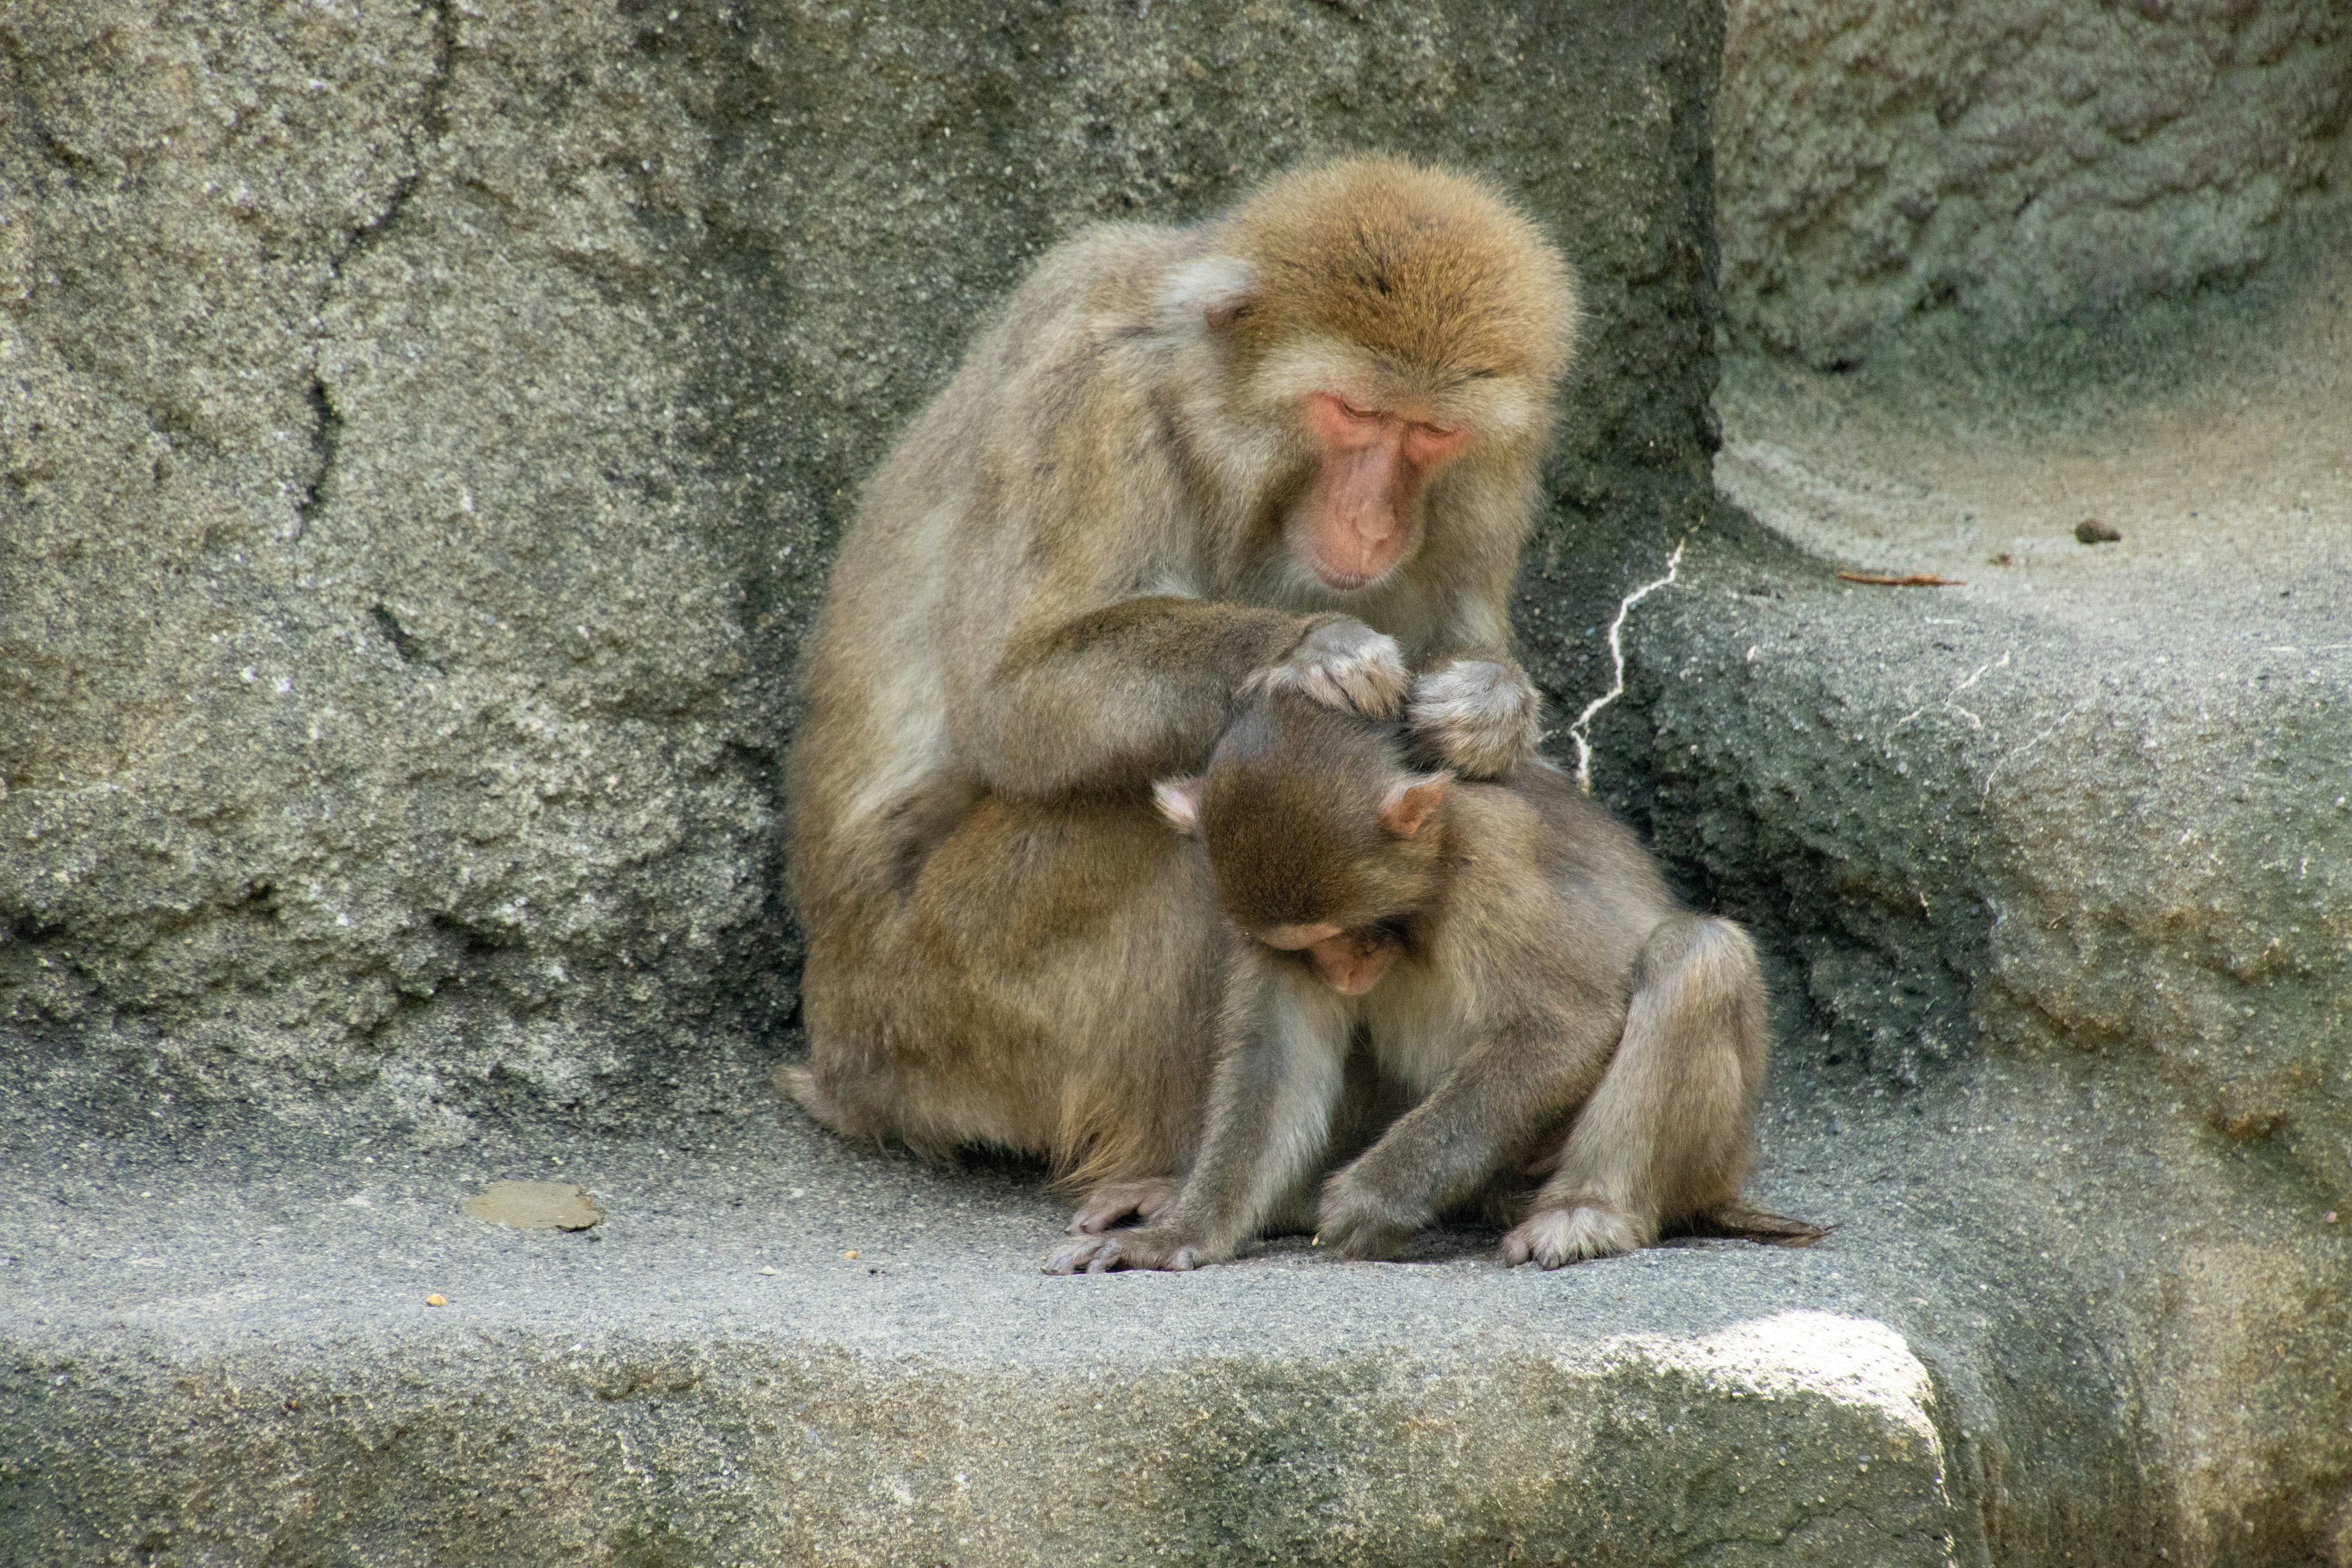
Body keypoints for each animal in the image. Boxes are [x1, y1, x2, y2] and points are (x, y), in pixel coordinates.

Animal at [790, 159, 1580, 1213]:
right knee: (1167, 827)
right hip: (933, 1007)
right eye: (1355, 413)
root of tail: (839, 1054)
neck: (1204, 415)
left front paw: (1489, 711)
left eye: (1431, 435)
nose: (1374, 523)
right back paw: (1169, 1163)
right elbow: (1017, 696)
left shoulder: (1486, 493)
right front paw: (1312, 651)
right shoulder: (1093, 401)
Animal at [1039, 691, 1806, 1278]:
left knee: (1697, 954)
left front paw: (1376, 1199)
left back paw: (1587, 1211)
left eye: (1346, 929)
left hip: (1702, 1159)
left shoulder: (1493, 861)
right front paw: (1178, 1232)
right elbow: (1274, 1063)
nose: (1343, 970)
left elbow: (1564, 1027)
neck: (1428, 886)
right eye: (1303, 950)